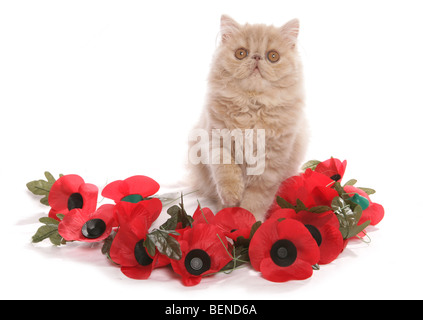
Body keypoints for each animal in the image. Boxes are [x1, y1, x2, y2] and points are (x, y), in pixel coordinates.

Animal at [189, 16, 308, 221]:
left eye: (273, 56)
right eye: (241, 53)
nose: (257, 57)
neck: (252, 107)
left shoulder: (271, 162)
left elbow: (256, 199)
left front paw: (248, 221)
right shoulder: (214, 139)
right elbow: (225, 168)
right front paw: (231, 199)